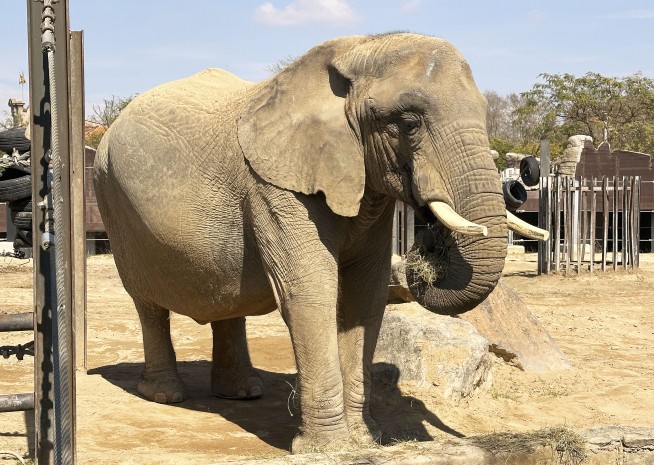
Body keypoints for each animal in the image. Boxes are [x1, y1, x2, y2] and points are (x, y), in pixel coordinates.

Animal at [94, 32, 546, 453]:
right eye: (408, 123)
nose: (429, 246)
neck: (355, 52)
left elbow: (365, 295)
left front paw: (367, 440)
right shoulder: (275, 185)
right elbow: (311, 291)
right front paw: (328, 448)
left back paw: (242, 392)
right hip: (112, 199)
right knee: (146, 303)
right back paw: (164, 394)